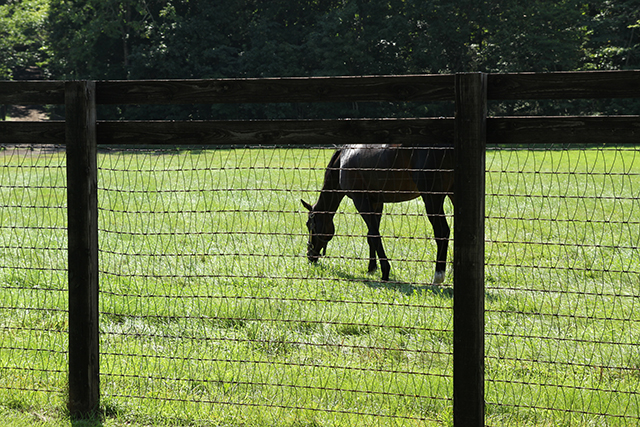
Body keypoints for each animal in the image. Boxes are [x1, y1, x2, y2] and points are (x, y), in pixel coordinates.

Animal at [302, 145, 456, 284]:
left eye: (310, 225)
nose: (310, 255)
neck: (343, 160)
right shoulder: (376, 202)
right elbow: (371, 235)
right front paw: (371, 268)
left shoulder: (361, 200)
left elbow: (375, 235)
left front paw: (385, 271)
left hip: (432, 199)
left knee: (442, 231)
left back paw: (438, 276)